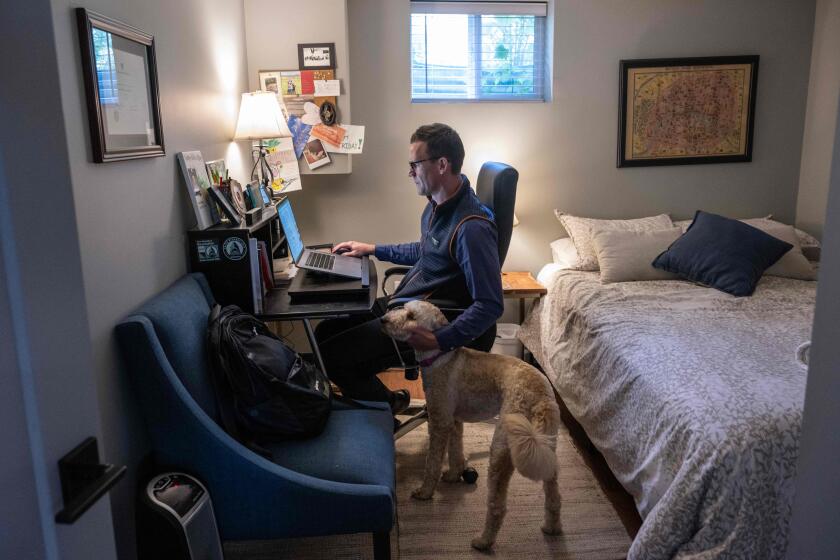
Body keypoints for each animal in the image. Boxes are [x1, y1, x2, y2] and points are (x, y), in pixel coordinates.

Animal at [384, 300, 560, 548]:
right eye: (403, 308)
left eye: (411, 316)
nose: (383, 320)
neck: (440, 358)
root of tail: (540, 396)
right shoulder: (454, 421)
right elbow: (456, 451)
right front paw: (453, 476)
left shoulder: (439, 421)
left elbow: (432, 463)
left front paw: (425, 492)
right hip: (547, 447)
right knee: (553, 495)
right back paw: (552, 528)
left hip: (501, 449)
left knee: (497, 506)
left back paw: (483, 541)